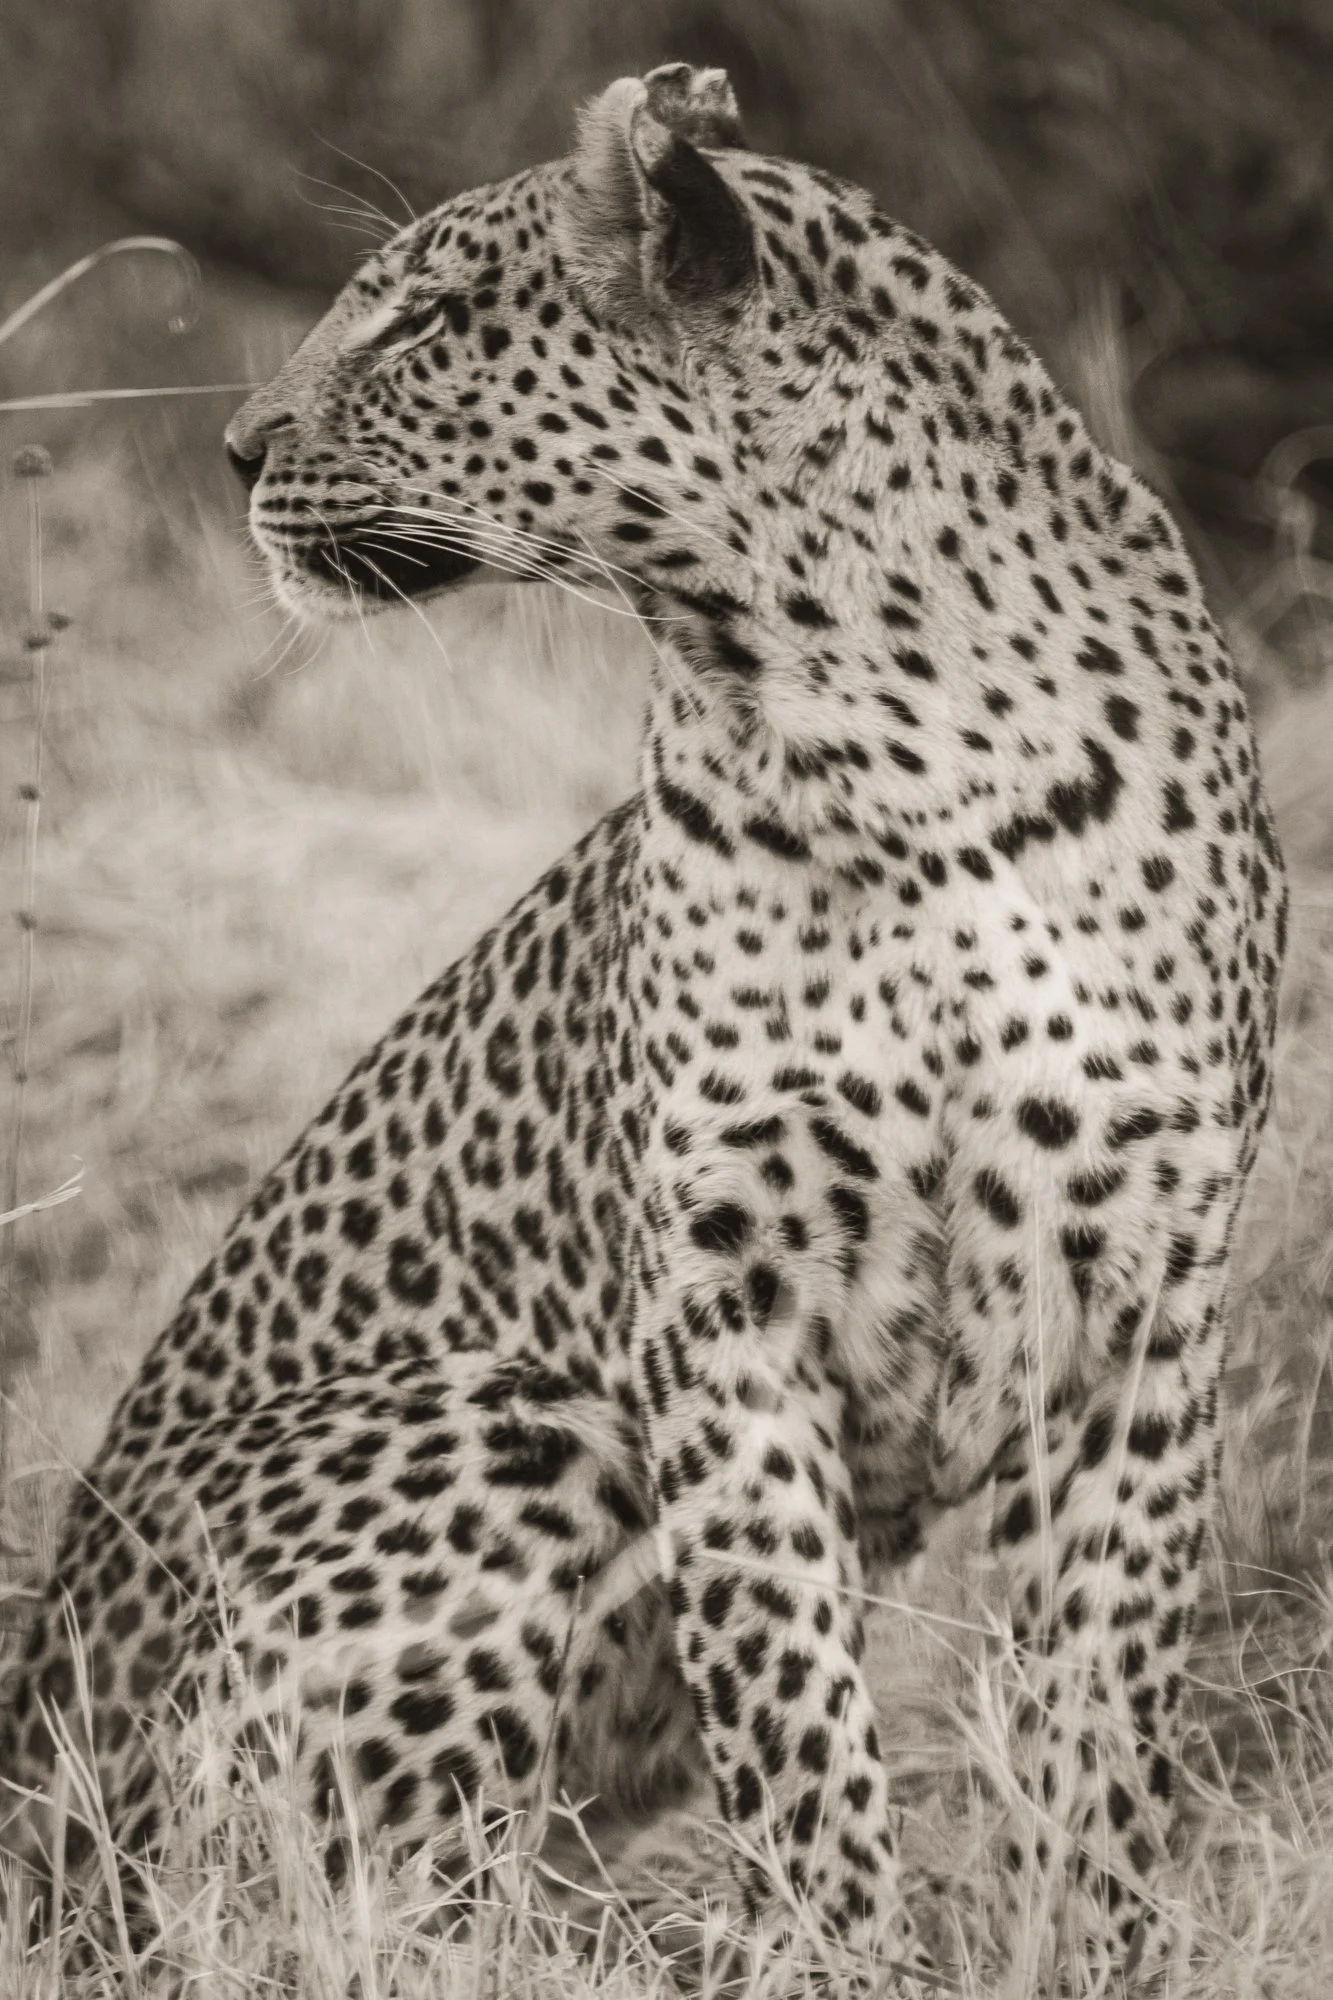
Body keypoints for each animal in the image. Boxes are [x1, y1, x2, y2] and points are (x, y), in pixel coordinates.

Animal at [2, 61, 1286, 1989]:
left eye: (427, 317)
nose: (232, 449)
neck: (875, 720)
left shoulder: (1137, 1291)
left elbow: (1101, 1717)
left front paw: (1077, 1951)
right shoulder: (722, 1291)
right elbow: (794, 1712)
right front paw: (832, 1957)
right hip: (499, 1420)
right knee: (326, 1904)